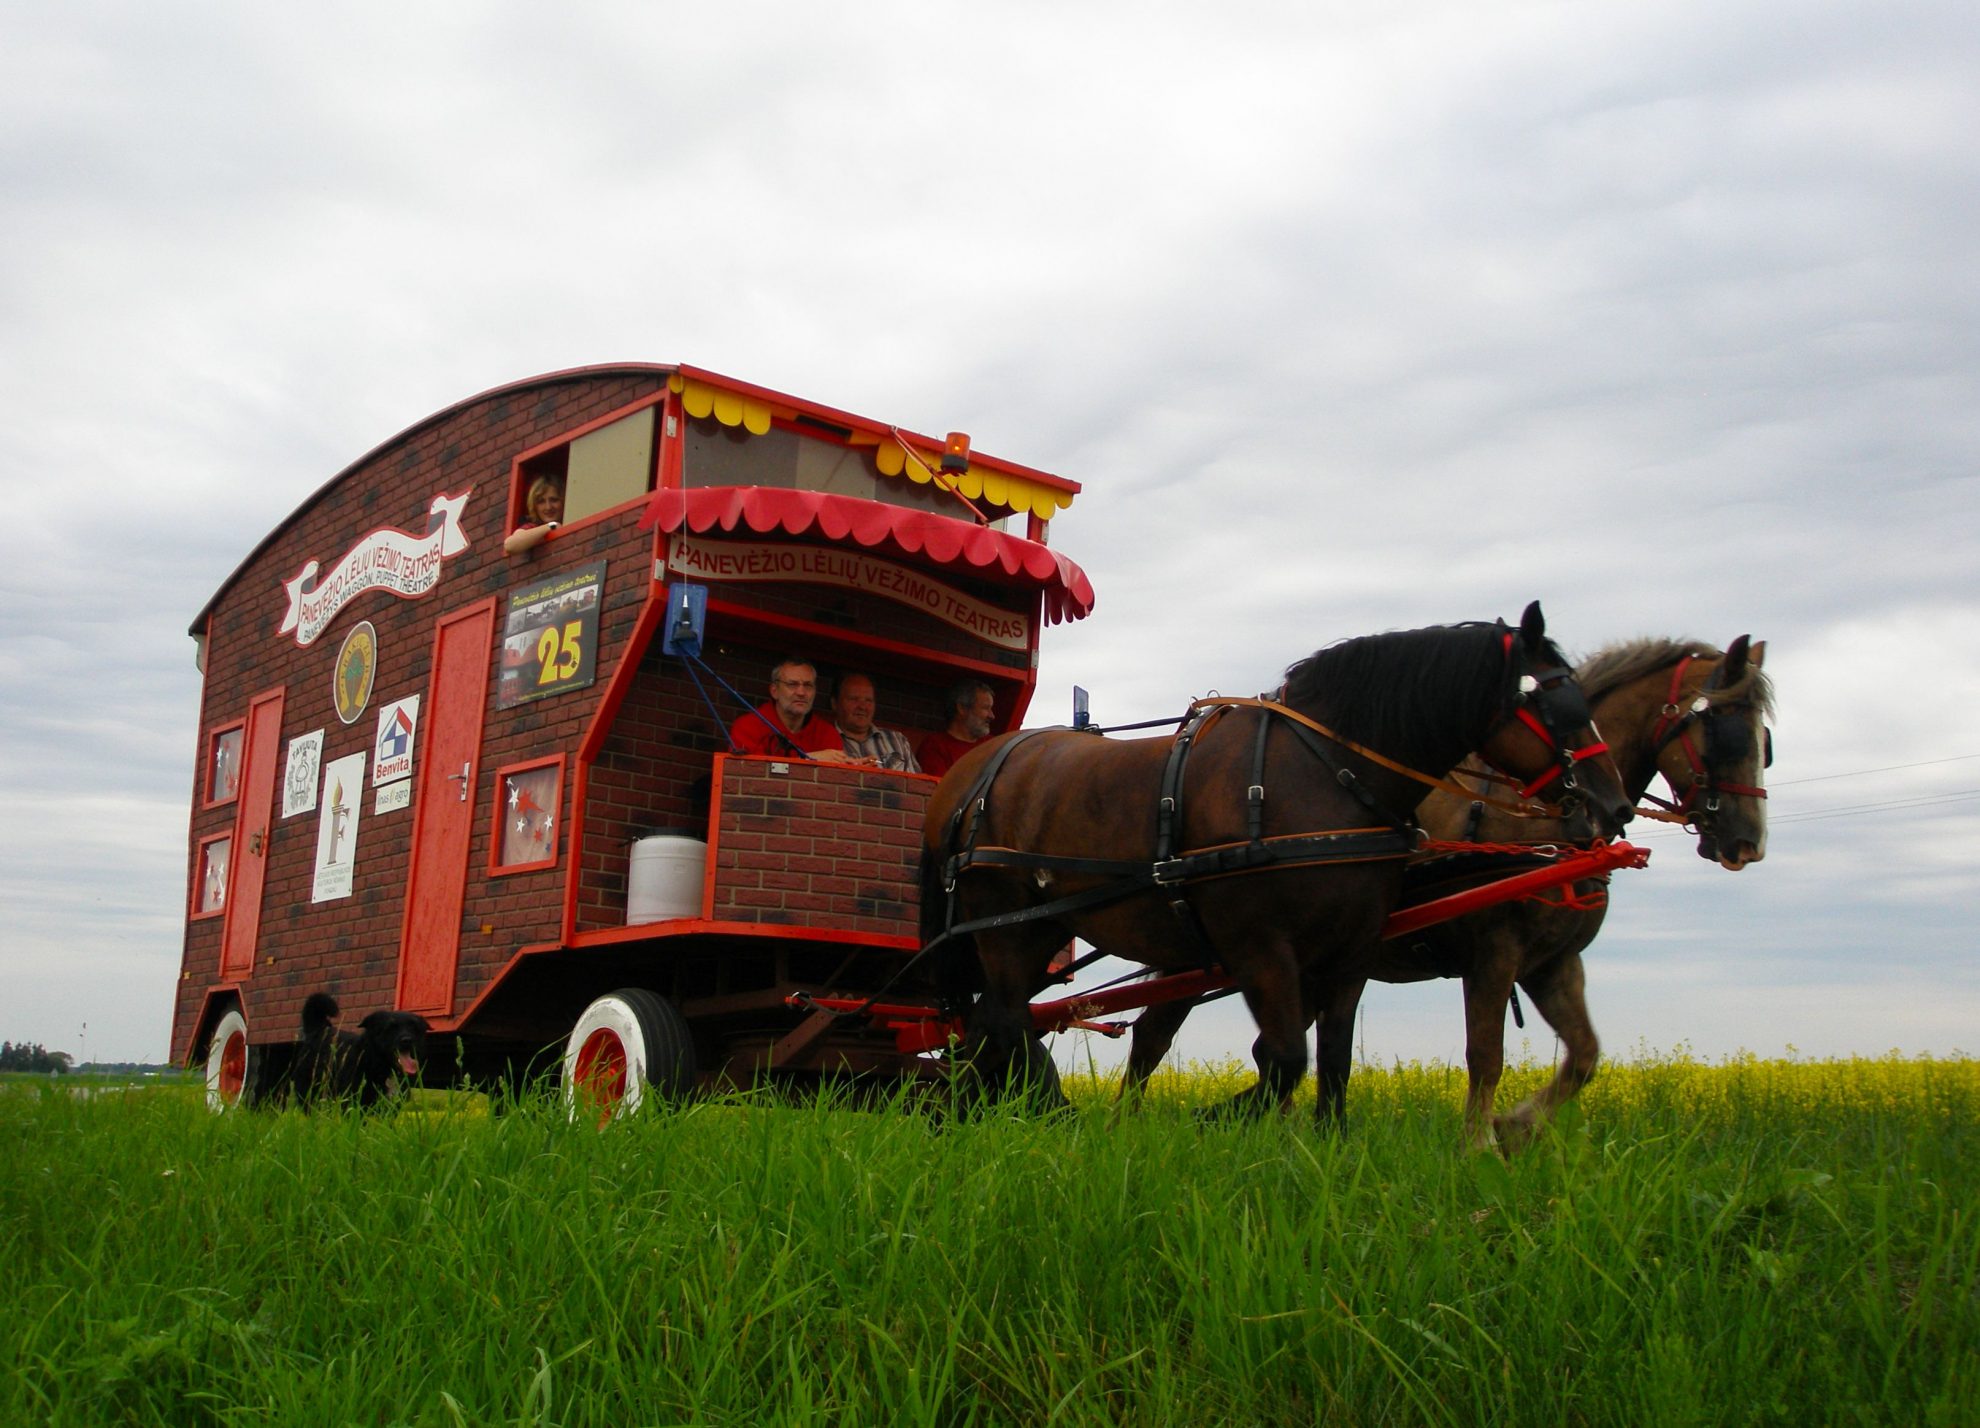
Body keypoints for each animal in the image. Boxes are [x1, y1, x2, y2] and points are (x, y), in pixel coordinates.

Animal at [918, 602, 1631, 1117]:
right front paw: (1215, 1121)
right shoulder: (1259, 947)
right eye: (1556, 702)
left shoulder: (1350, 953)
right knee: (1009, 1023)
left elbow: (1333, 1067)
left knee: (990, 1025)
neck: (1326, 776)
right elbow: (1284, 1059)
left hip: (1037, 928)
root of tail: (972, 773)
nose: (1616, 805)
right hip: (1002, 922)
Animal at [1116, 633, 1782, 1148]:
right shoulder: (1494, 951)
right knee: (1155, 1035)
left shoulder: (1553, 963)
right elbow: (1485, 1053)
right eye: (1722, 729)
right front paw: (1479, 1143)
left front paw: (1517, 1127)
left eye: (1765, 743)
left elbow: (1586, 1055)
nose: (1747, 842)